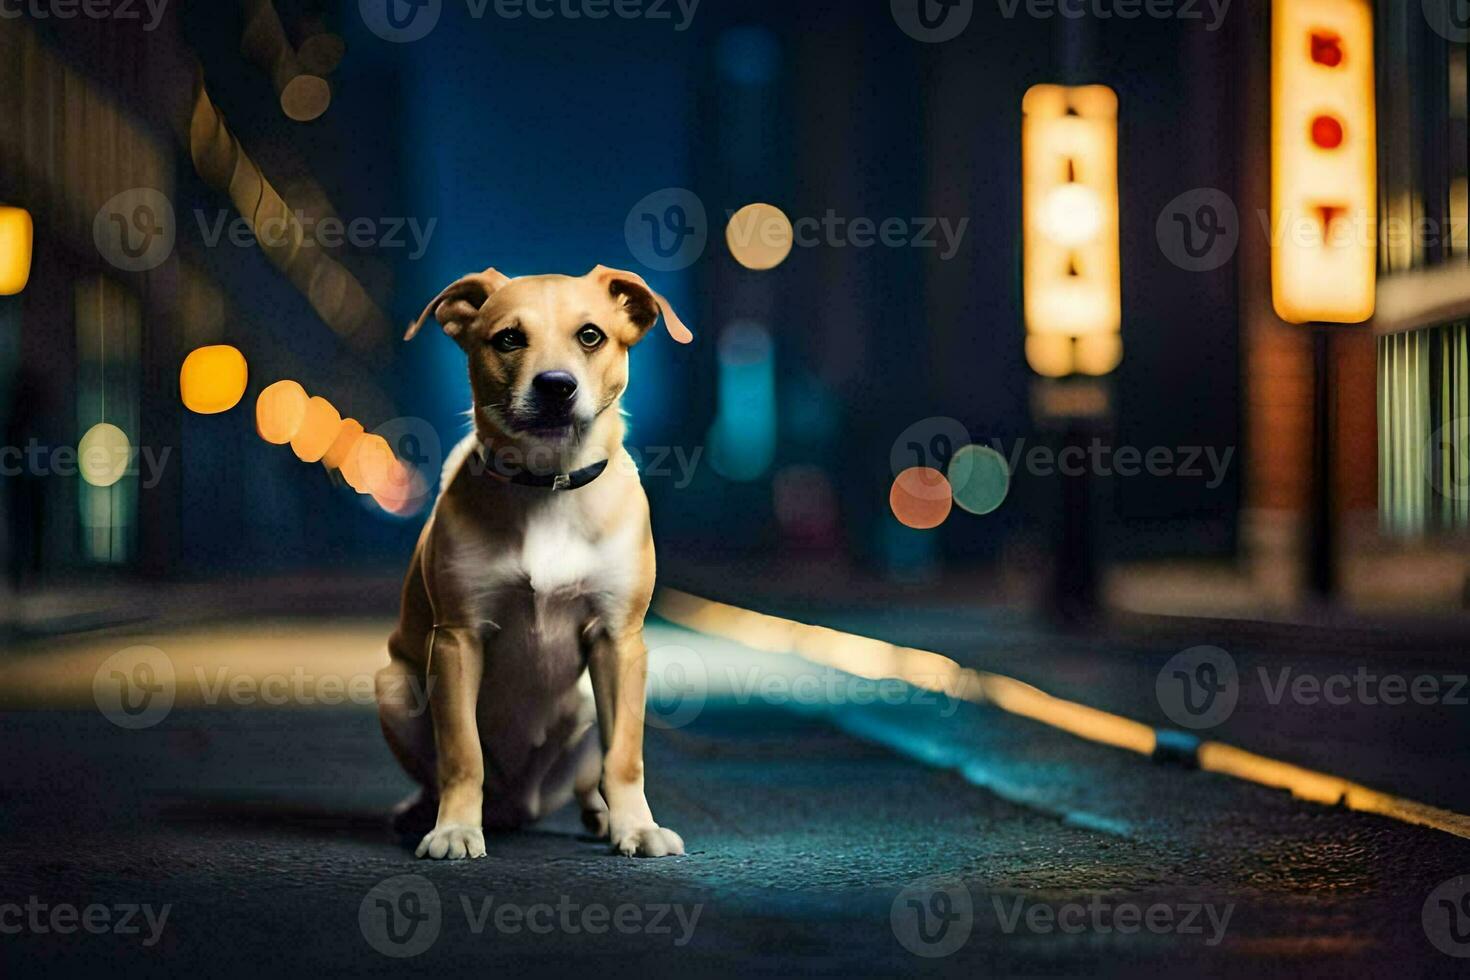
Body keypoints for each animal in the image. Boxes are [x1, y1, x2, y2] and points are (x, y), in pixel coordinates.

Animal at [379, 262, 699, 858]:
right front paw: (455, 828)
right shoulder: (457, 640)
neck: (548, 485)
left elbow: (625, 756)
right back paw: (423, 811)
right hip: (394, 688)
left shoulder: (619, 641)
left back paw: (602, 815)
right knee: (437, 773)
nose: (556, 385)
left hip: (586, 707)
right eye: (508, 338)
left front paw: (636, 826)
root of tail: (521, 804)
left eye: (591, 335)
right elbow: (462, 754)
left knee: (591, 777)